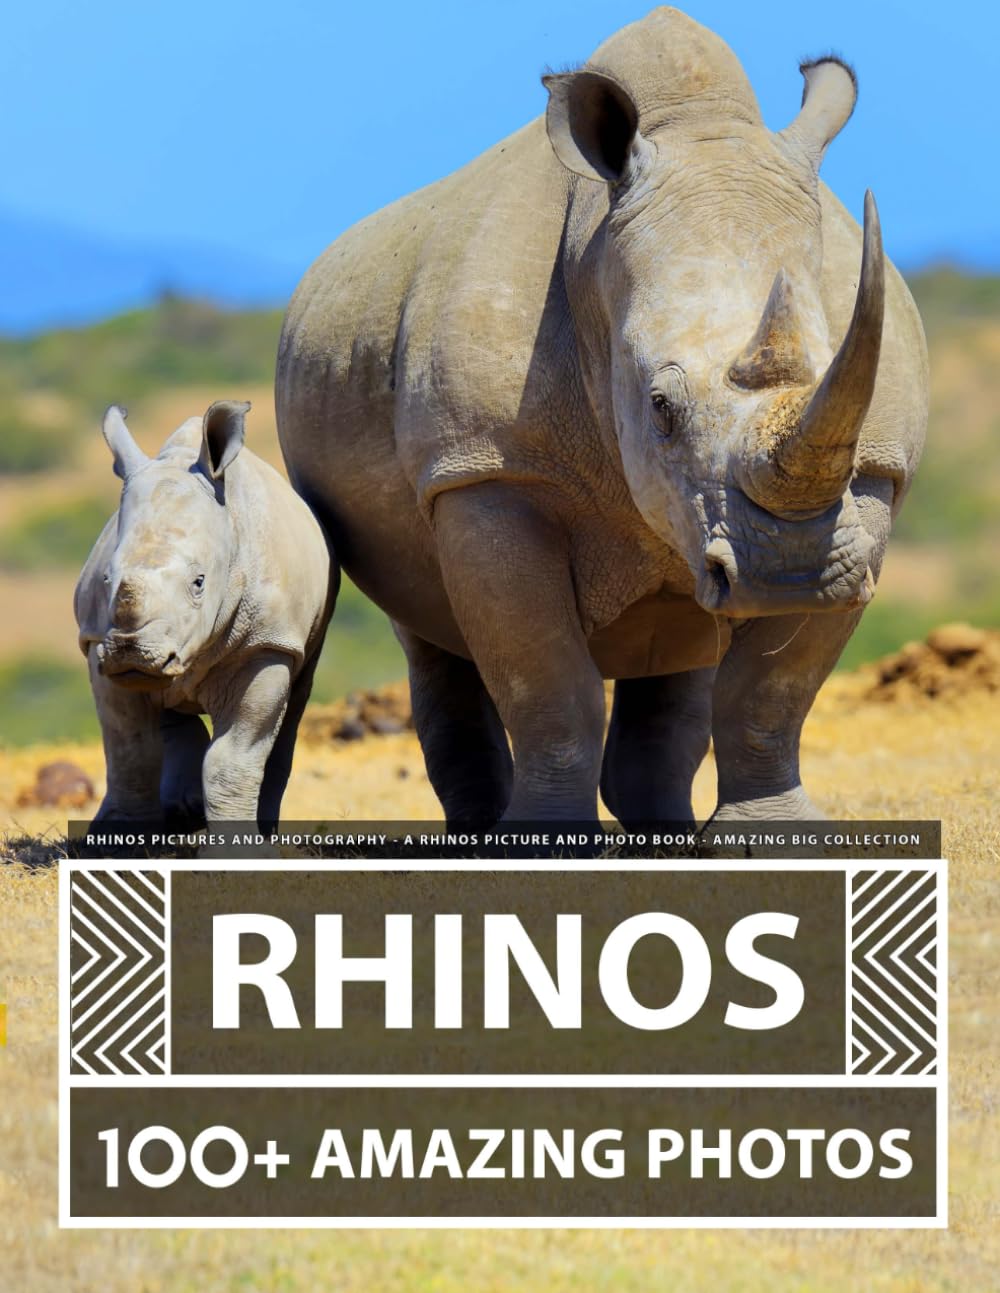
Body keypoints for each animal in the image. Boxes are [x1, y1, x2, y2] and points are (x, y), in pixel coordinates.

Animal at [75, 401, 334, 827]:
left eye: (199, 582)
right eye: (107, 579)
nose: (132, 651)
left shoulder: (266, 643)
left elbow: (232, 759)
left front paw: (240, 843)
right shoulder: (97, 639)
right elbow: (130, 750)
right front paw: (117, 835)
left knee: (291, 710)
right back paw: (181, 811)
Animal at [276, 7, 928, 824]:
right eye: (660, 408)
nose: (789, 574)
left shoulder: (869, 474)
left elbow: (771, 693)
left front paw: (772, 835)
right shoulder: (486, 470)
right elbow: (550, 688)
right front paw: (547, 838)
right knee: (430, 630)